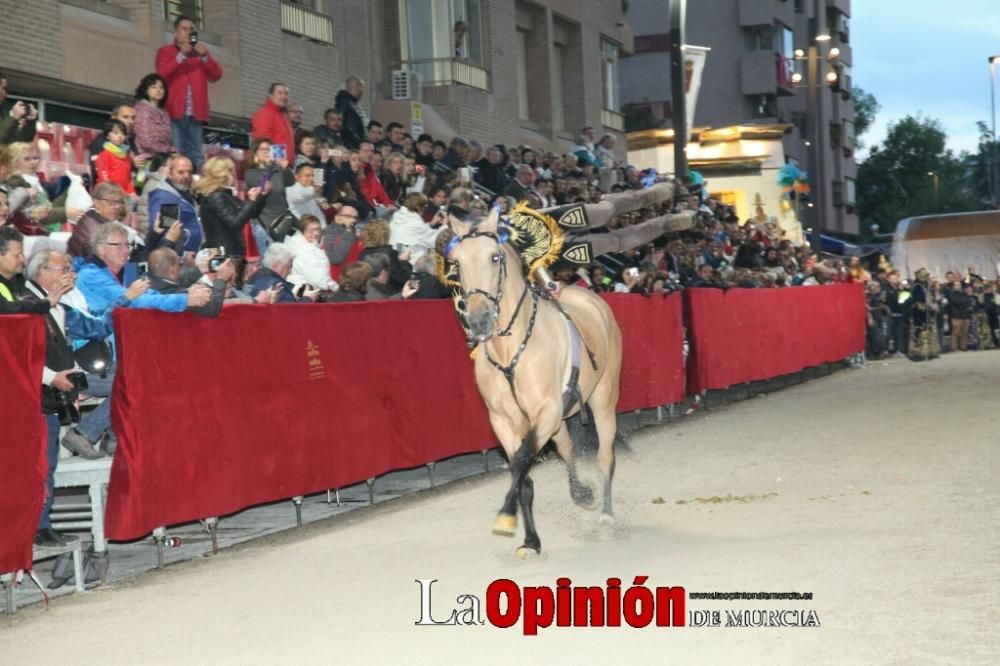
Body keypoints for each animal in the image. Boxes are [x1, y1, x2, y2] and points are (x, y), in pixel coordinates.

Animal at [444, 204, 616, 556]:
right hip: (560, 418)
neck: (511, 350)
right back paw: (582, 495)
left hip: (604, 398)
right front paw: (531, 541)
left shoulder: (545, 411)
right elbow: (522, 475)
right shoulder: (504, 421)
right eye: (458, 262)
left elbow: (523, 460)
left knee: (605, 455)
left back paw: (606, 515)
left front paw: (505, 517)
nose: (479, 321)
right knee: (566, 447)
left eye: (495, 257)